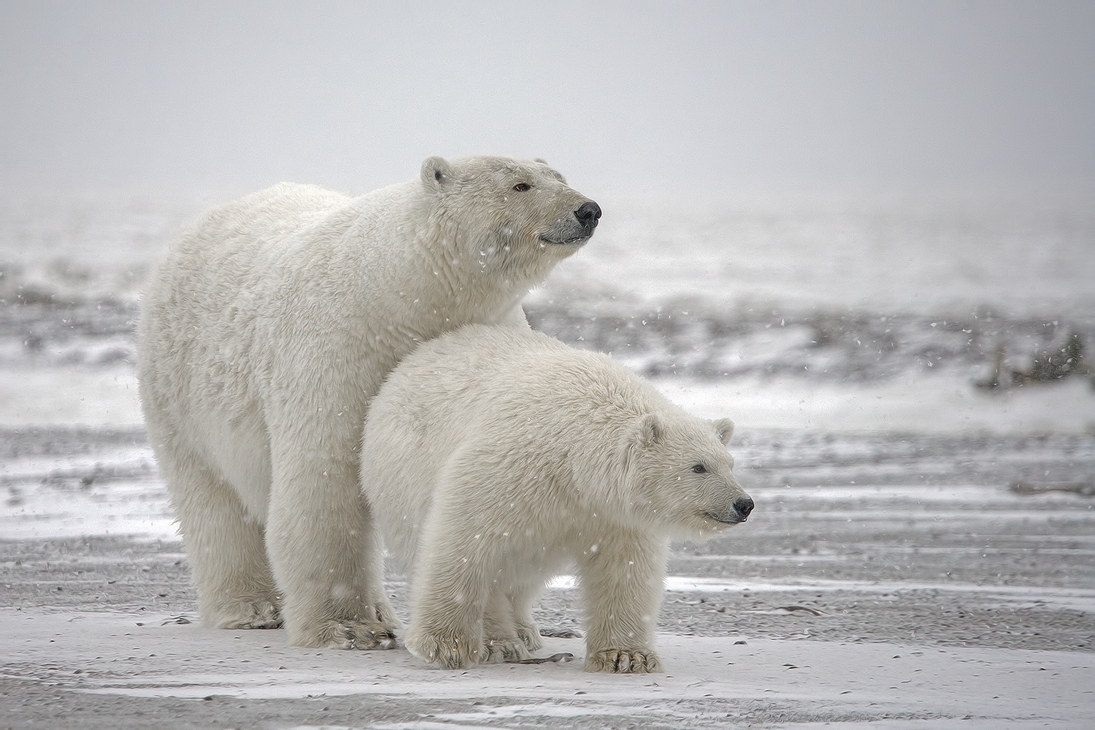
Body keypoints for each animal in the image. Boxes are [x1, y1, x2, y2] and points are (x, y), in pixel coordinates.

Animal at [137, 154, 604, 652]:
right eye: (520, 185)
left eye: (560, 176)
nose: (588, 210)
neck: (402, 293)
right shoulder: (337, 346)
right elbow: (326, 474)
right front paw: (348, 626)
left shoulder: (485, 329)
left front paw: (517, 631)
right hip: (177, 390)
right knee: (212, 502)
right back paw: (251, 607)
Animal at [359, 326, 753, 674]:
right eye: (698, 466)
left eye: (729, 462)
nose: (744, 503)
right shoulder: (510, 466)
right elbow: (464, 540)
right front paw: (445, 646)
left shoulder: (614, 514)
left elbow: (624, 570)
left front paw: (626, 656)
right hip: (402, 475)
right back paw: (499, 641)